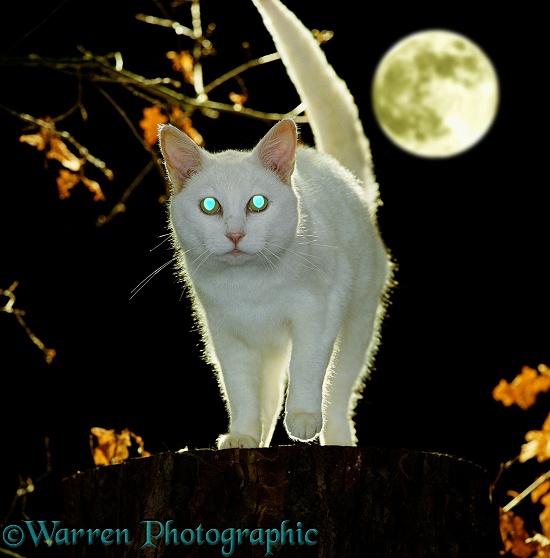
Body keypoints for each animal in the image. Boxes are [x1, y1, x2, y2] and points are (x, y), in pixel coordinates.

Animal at [157, 0, 394, 448]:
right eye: (210, 206)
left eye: (258, 203)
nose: (235, 233)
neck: (252, 288)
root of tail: (344, 175)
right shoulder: (227, 338)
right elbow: (241, 393)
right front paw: (243, 435)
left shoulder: (318, 316)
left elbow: (306, 371)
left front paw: (302, 419)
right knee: (267, 396)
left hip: (358, 325)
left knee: (340, 392)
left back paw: (336, 437)